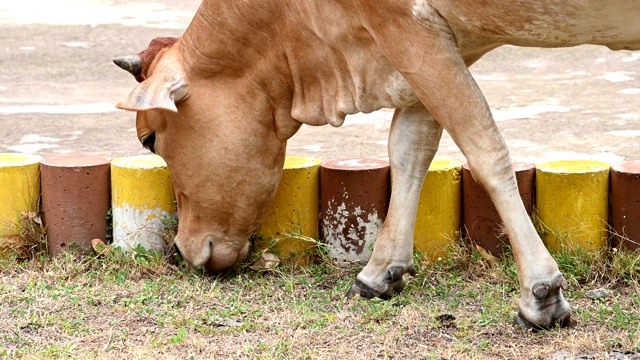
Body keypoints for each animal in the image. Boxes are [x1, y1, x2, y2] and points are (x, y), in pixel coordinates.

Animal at [115, 0, 640, 330]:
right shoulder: (444, 41)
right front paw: (382, 269)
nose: (181, 248)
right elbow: (410, 147)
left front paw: (542, 294)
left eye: (149, 139)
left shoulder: (406, 26)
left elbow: (484, 149)